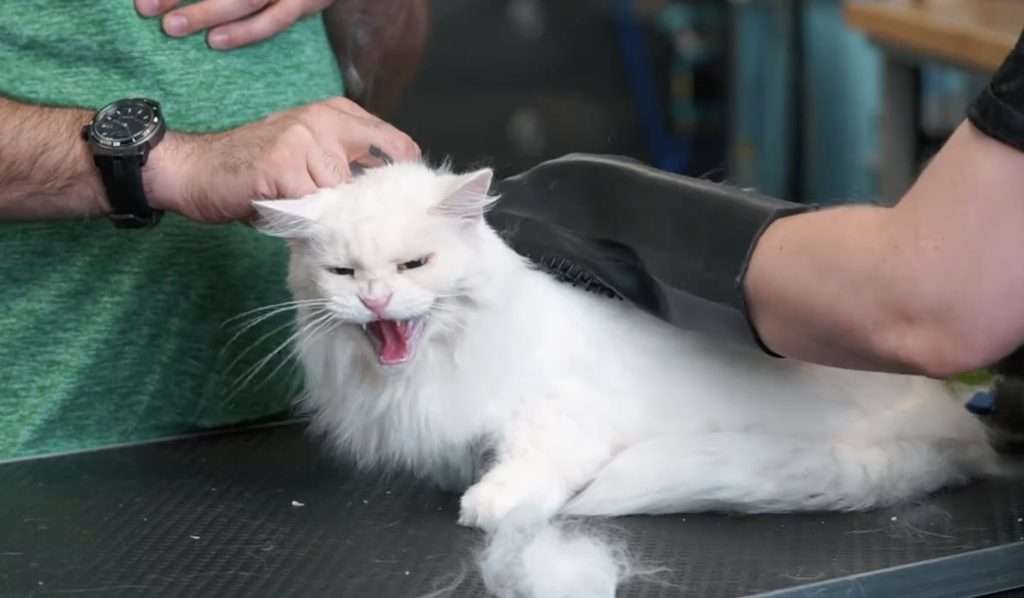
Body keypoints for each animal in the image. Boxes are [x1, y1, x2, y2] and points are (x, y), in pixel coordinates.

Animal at [252, 161, 997, 597]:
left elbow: (525, 471)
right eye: (343, 274)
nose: (375, 301)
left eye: (414, 265)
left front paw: (487, 504)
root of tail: (955, 433)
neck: (425, 370)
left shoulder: (565, 421)